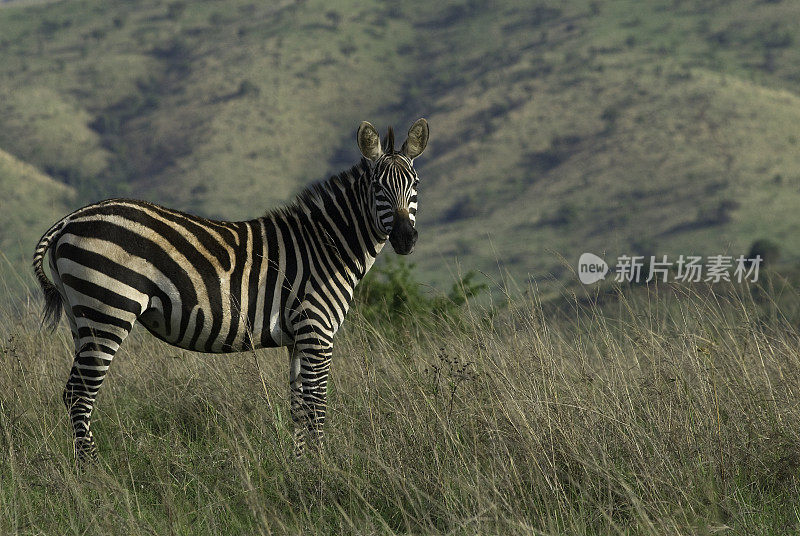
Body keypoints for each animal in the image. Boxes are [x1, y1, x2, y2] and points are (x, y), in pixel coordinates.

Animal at [31, 118, 428, 460]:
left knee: (73, 393)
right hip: (108, 311)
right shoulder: (317, 331)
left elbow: (299, 406)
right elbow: (316, 406)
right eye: (377, 187)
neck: (327, 247)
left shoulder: (299, 338)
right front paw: (322, 469)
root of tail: (71, 218)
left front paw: (300, 466)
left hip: (82, 317)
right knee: (79, 396)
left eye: (416, 185)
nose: (406, 240)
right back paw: (94, 474)